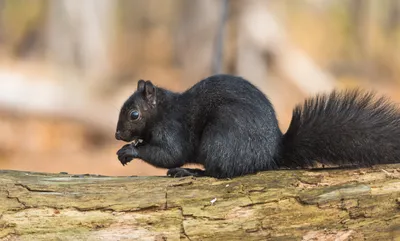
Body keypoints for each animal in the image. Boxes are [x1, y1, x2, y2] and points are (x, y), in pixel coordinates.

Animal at [114, 74, 400, 178]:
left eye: (134, 114)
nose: (117, 135)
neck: (163, 110)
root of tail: (271, 154)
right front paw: (132, 146)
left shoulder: (173, 128)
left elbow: (170, 153)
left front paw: (131, 150)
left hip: (221, 138)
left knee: (219, 172)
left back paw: (190, 172)